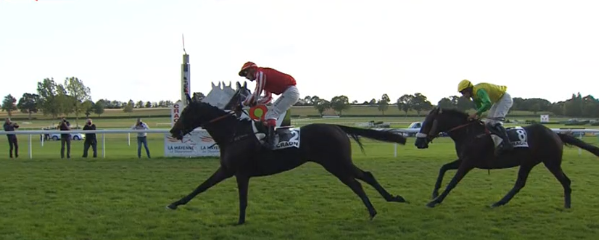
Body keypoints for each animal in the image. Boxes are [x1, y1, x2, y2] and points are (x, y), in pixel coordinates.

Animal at [169, 93, 410, 224]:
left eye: (186, 113)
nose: (173, 131)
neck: (233, 133)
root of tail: (336, 127)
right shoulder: (227, 170)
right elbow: (200, 187)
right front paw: (174, 203)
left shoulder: (240, 173)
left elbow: (242, 199)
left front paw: (239, 221)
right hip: (337, 163)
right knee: (364, 178)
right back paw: (388, 201)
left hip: (336, 163)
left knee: (358, 182)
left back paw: (376, 208)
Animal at [414, 108, 599, 209]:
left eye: (428, 123)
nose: (418, 142)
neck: (469, 133)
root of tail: (556, 134)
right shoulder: (464, 160)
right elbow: (443, 167)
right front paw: (434, 192)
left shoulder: (469, 162)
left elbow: (453, 182)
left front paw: (435, 201)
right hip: (530, 162)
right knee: (520, 184)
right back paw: (499, 203)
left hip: (550, 162)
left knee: (564, 181)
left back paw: (567, 205)